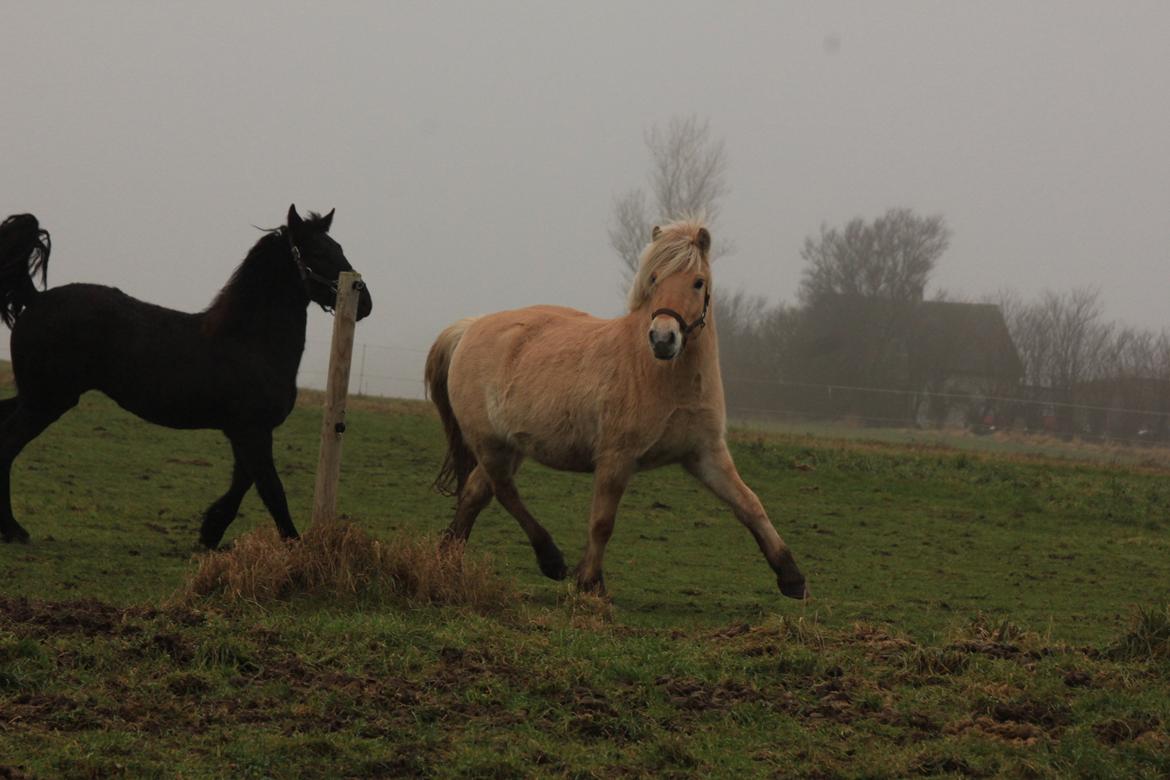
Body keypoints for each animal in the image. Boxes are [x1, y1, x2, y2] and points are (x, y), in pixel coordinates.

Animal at [0, 206, 372, 549]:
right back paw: (14, 531)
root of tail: (36, 299)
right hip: (46, 401)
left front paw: (210, 531)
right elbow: (271, 488)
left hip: (37, 396)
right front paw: (296, 549)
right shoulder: (252, 430)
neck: (250, 342)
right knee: (7, 445)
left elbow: (244, 481)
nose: (365, 303)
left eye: (337, 246)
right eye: (319, 252)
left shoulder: (243, 431)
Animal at [428, 219, 804, 598]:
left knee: (476, 492)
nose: (663, 339)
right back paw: (550, 559)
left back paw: (449, 561)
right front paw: (590, 582)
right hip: (491, 444)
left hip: (512, 446)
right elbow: (602, 522)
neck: (664, 376)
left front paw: (792, 577)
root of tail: (470, 327)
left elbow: (749, 504)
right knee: (503, 490)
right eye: (654, 278)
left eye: (698, 282)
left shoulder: (705, 454)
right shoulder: (616, 458)